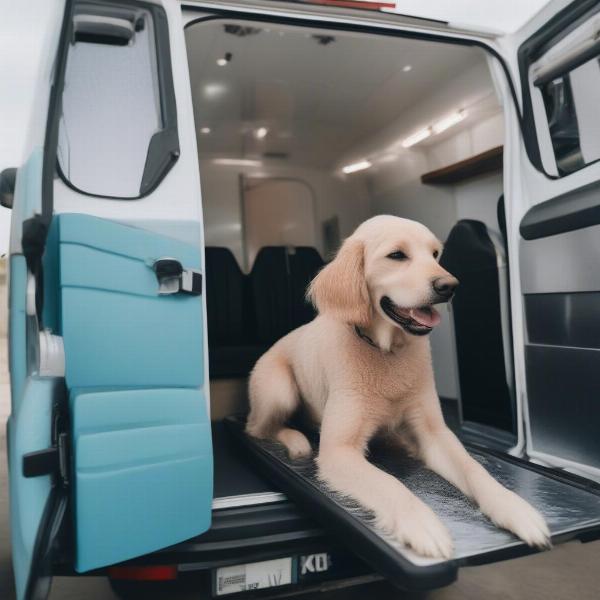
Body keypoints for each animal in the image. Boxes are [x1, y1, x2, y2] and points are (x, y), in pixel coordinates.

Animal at [246, 214, 552, 556]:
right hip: (280, 390)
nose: (449, 287)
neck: (387, 352)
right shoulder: (339, 451)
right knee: (255, 427)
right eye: (396, 255)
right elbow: (389, 484)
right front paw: (422, 523)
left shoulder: (434, 432)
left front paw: (513, 507)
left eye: (435, 255)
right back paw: (296, 439)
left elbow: (475, 469)